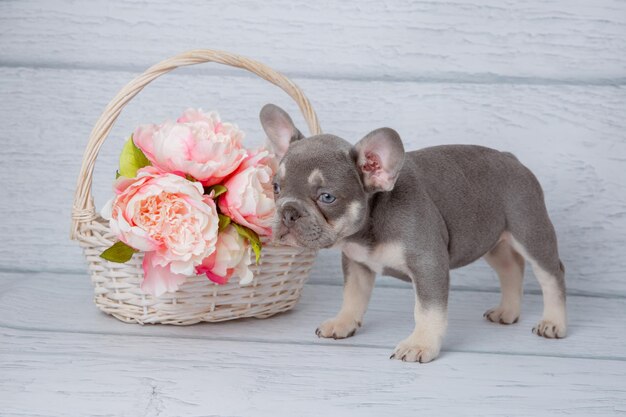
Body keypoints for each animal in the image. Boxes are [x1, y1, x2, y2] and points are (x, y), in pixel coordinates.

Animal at [258, 103, 564, 360]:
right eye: (276, 187)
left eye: (326, 197)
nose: (288, 211)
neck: (372, 221)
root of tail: (512, 158)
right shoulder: (357, 264)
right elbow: (353, 297)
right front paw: (343, 323)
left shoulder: (428, 265)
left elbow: (427, 311)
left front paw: (420, 344)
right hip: (492, 240)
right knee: (511, 268)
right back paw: (508, 311)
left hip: (530, 230)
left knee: (551, 274)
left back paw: (553, 322)